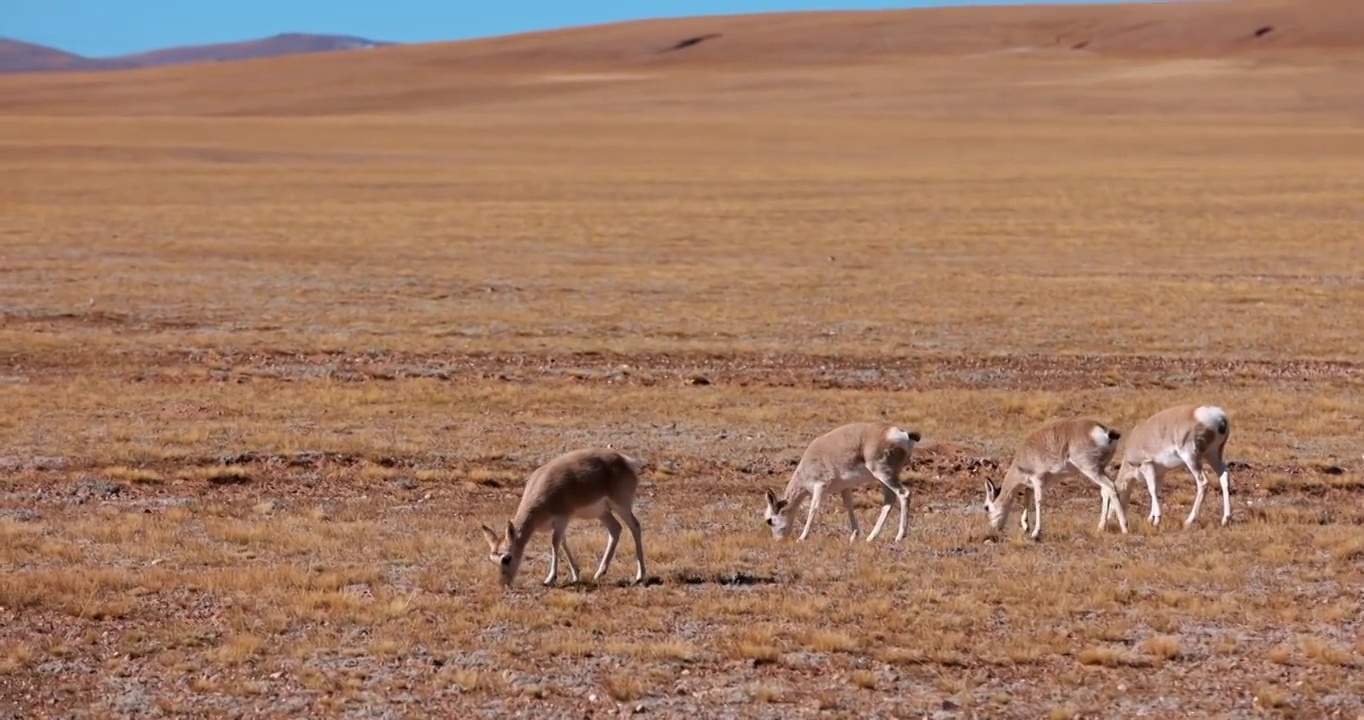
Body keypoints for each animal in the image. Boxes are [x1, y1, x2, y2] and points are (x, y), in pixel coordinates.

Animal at [480, 447, 649, 589]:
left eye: (506, 558)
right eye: (492, 559)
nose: (503, 583)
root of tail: (625, 460)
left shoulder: (562, 519)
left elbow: (555, 543)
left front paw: (550, 579)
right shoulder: (558, 524)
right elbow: (563, 542)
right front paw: (575, 576)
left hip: (621, 506)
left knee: (635, 526)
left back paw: (640, 576)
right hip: (602, 512)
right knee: (616, 529)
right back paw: (600, 573)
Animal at [763, 420, 922, 542]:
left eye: (770, 520)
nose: (777, 540)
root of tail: (903, 433)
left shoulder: (820, 486)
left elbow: (814, 508)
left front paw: (802, 537)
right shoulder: (845, 487)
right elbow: (849, 506)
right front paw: (854, 535)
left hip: (884, 475)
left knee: (904, 493)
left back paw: (900, 536)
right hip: (884, 478)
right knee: (889, 501)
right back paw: (871, 538)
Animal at [982, 417, 1129, 540]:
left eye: (986, 507)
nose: (993, 528)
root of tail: (1103, 430)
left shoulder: (1037, 480)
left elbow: (1037, 501)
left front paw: (1036, 532)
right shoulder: (1032, 485)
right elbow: (1027, 499)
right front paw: (1026, 526)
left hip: (1091, 469)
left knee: (1111, 487)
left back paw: (1124, 528)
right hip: (1100, 469)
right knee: (1106, 490)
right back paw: (1100, 527)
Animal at [1107, 403, 1238, 529]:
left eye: (1110, 498)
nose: (1109, 518)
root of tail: (1219, 416)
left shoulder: (1147, 465)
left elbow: (1152, 490)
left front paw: (1156, 520)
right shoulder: (1159, 473)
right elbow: (1157, 491)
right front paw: (1151, 518)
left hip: (1191, 459)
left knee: (1203, 482)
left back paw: (1189, 521)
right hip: (1212, 456)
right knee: (1224, 476)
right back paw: (1225, 519)